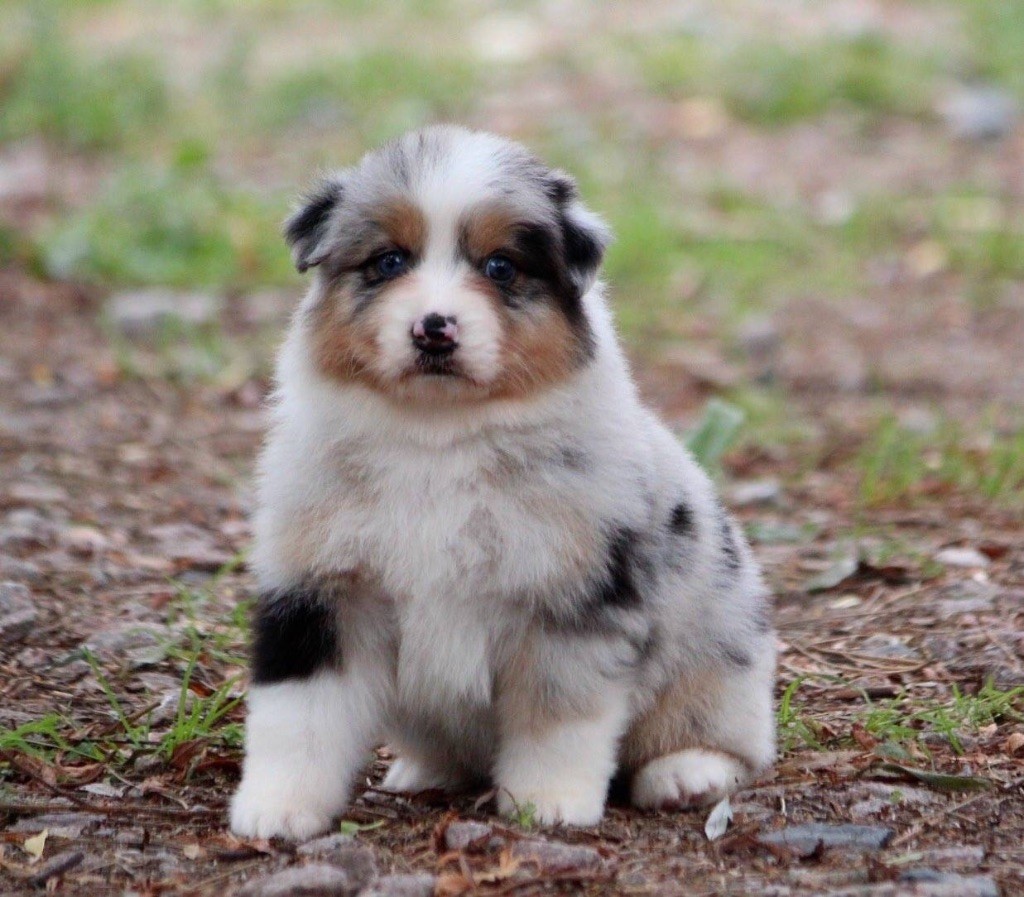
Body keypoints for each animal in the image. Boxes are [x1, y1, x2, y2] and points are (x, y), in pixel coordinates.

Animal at [230, 125, 776, 840]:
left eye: (499, 268)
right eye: (388, 262)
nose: (434, 327)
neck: (438, 437)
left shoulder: (568, 601)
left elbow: (558, 718)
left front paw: (548, 804)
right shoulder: (322, 591)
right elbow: (297, 718)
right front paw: (276, 809)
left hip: (719, 652)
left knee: (728, 739)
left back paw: (687, 774)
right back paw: (424, 771)